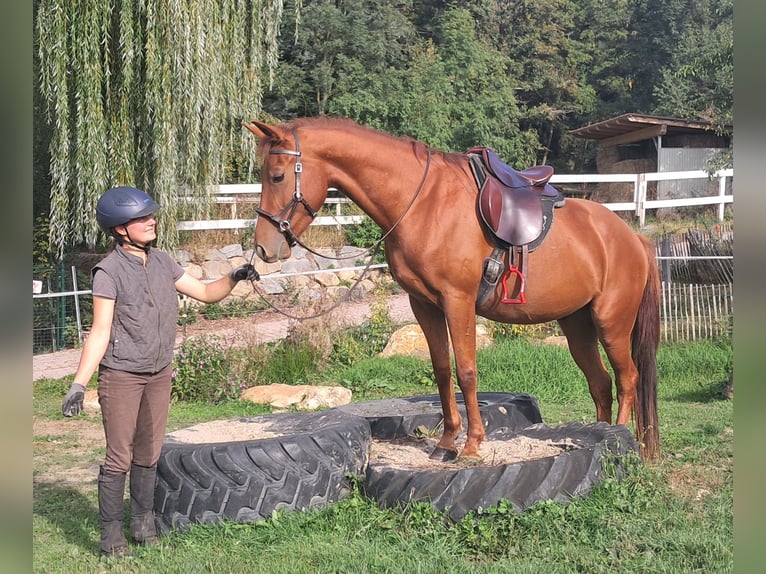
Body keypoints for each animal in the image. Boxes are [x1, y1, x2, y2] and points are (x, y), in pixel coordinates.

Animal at [244, 117, 661, 461]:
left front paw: (472, 445)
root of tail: (633, 238)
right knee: (600, 382)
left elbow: (467, 371)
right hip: (577, 325)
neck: (422, 204)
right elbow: (443, 371)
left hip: (611, 323)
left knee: (627, 379)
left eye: (277, 176)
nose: (264, 248)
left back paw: (621, 438)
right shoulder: (423, 305)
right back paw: (603, 432)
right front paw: (446, 443)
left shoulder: (457, 300)